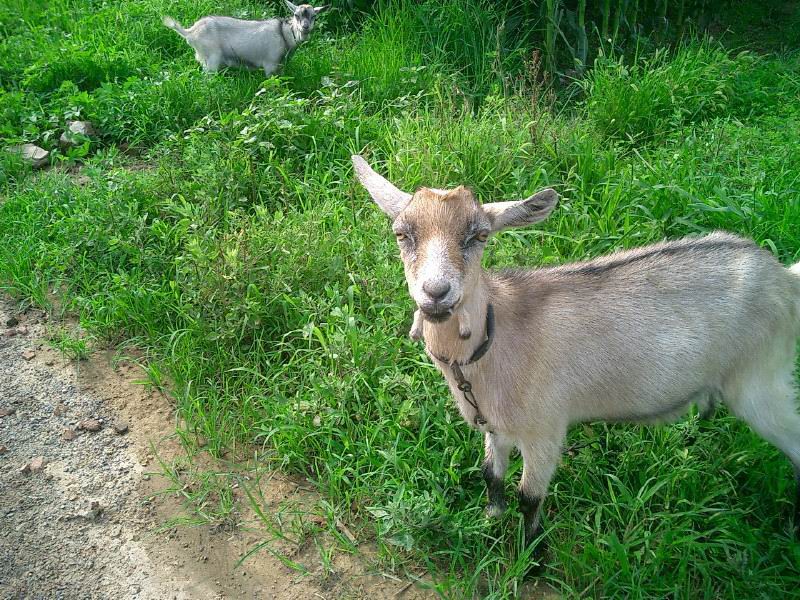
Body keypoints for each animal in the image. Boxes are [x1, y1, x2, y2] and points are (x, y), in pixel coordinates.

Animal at [163, 1, 328, 76]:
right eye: (296, 15)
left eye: (314, 16)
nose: (305, 27)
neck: (284, 34)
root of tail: (190, 32)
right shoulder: (270, 64)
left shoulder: (280, 66)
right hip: (212, 58)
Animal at [352, 154, 800, 555]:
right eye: (402, 234)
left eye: (479, 236)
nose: (436, 293)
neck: (497, 340)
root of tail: (784, 278)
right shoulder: (494, 425)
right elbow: (490, 474)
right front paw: (490, 519)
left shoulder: (546, 430)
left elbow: (529, 496)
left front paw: (531, 556)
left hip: (762, 381)